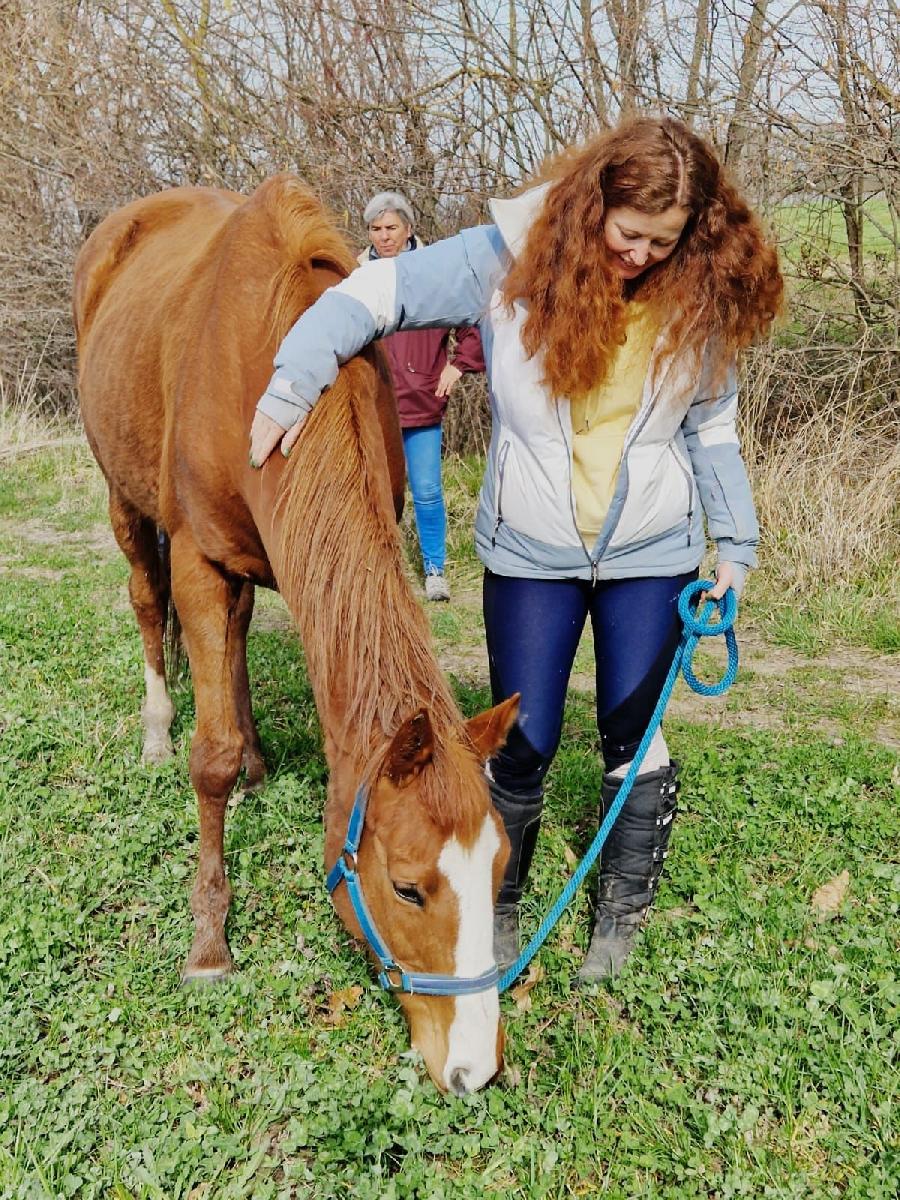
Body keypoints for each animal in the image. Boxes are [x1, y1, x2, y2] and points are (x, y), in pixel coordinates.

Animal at [74, 175, 518, 1099]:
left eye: (499, 872)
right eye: (408, 889)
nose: (473, 1067)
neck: (269, 354)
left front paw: (249, 759)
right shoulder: (199, 559)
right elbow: (205, 757)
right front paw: (209, 941)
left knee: (237, 638)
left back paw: (253, 756)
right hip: (125, 502)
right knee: (147, 602)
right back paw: (159, 728)